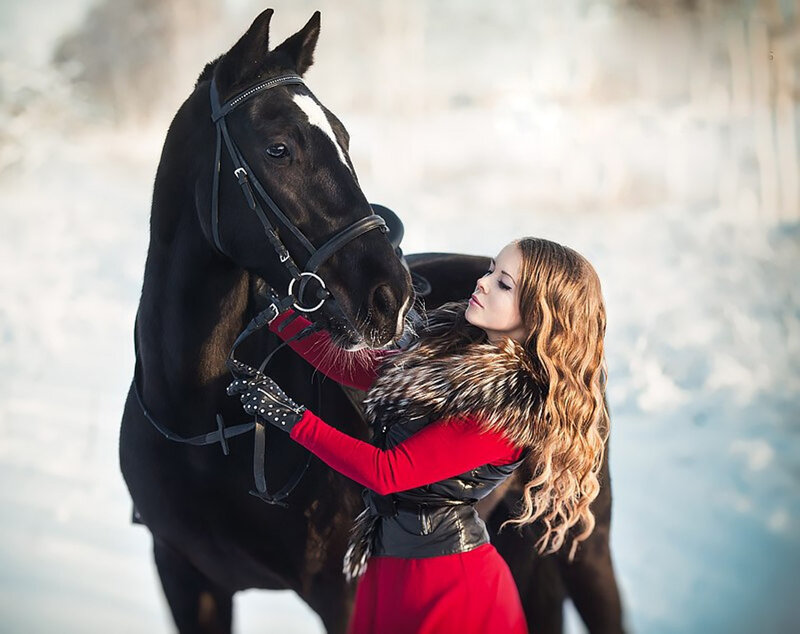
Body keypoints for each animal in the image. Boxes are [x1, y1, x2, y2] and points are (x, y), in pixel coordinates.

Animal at [120, 9, 623, 633]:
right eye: (278, 148)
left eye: (343, 137)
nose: (392, 294)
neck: (208, 426)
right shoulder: (186, 579)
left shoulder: (344, 594)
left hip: (585, 547)